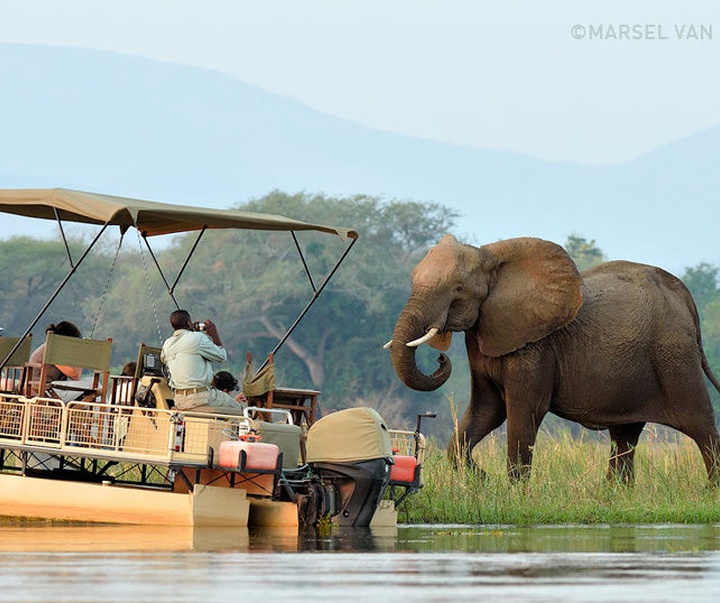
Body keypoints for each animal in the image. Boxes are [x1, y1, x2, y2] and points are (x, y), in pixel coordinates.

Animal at [388, 234, 720, 484]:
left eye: (458, 289)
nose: (441, 360)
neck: (491, 259)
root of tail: (685, 297)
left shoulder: (536, 346)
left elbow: (524, 412)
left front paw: (513, 493)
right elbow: (486, 410)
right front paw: (484, 481)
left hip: (675, 357)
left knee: (701, 425)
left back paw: (709, 491)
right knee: (624, 435)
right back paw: (613, 495)